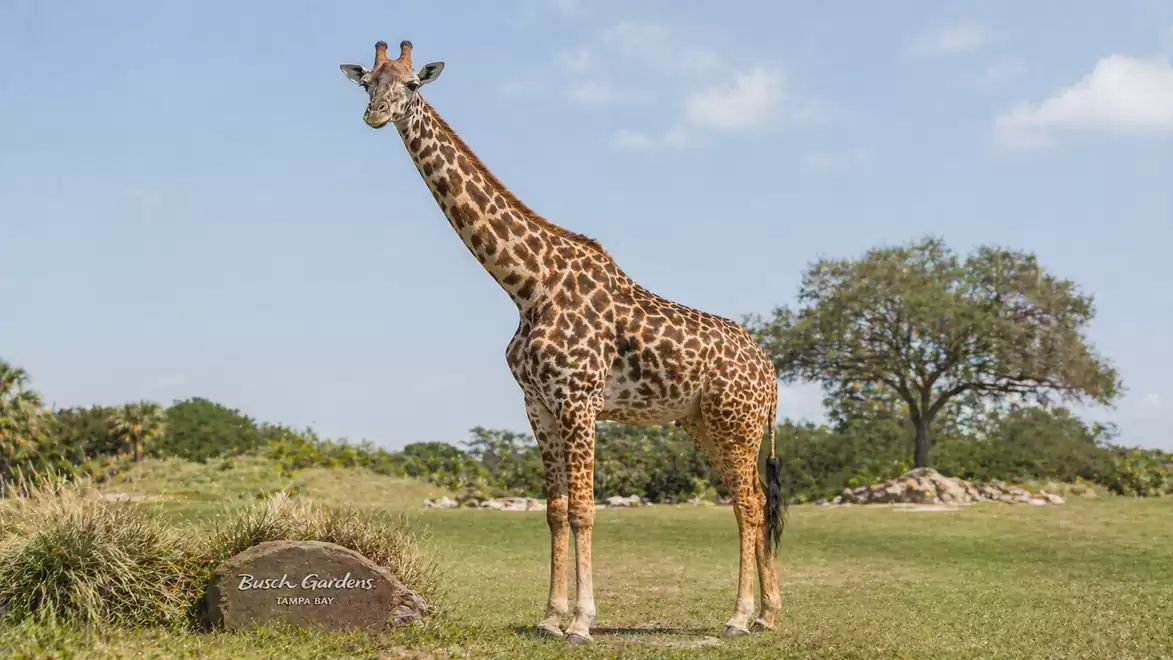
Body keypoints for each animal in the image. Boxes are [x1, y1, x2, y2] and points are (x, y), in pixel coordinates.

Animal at [339, 40, 786, 643]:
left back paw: (739, 617)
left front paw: (581, 620)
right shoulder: (537, 405)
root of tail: (771, 371)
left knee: (747, 502)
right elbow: (553, 510)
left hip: (736, 421)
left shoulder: (578, 401)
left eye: (412, 85)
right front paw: (550, 616)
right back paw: (767, 612)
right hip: (705, 423)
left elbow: (584, 510)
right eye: (367, 82)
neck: (527, 285)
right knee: (755, 499)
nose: (375, 115)